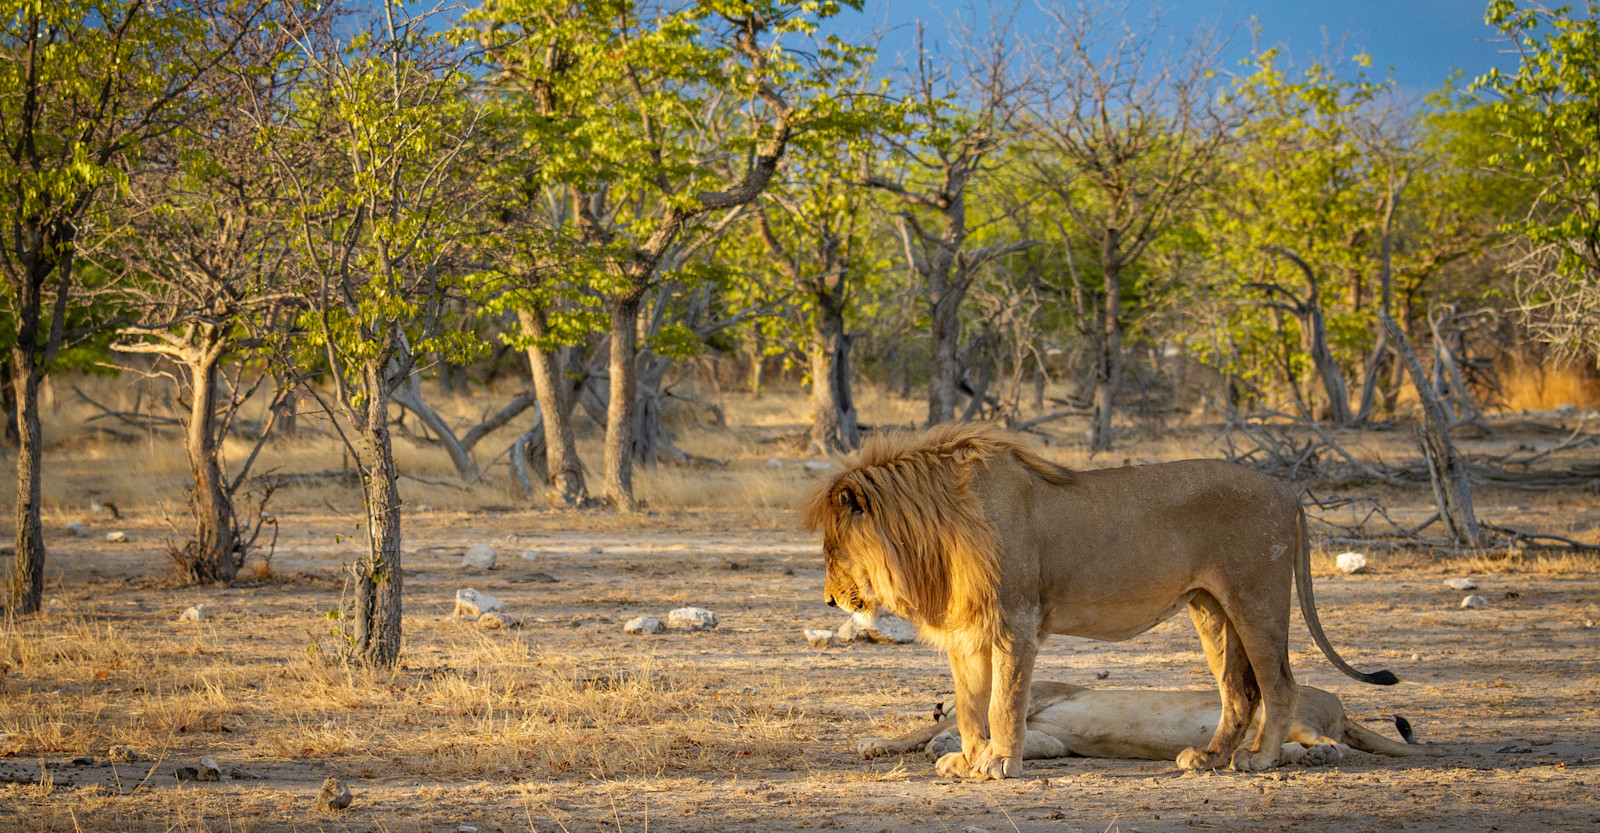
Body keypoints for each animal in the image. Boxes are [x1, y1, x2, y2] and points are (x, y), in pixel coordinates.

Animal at [803, 422, 1397, 780]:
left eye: (832, 549)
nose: (830, 601)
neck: (937, 532)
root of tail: (1288, 491)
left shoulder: (1017, 621)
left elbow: (1003, 703)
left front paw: (1000, 763)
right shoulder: (967, 630)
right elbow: (970, 705)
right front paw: (969, 762)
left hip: (1258, 597)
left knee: (1279, 684)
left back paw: (1261, 759)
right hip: (1211, 608)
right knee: (1239, 690)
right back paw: (1208, 758)